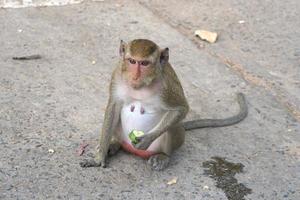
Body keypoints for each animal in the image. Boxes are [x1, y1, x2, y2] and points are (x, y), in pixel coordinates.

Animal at [78, 38, 247, 170]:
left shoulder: (167, 87)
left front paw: (146, 139)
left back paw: (163, 156)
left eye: (144, 63)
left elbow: (181, 109)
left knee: (172, 126)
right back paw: (114, 144)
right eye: (132, 61)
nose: (135, 76)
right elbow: (113, 107)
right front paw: (99, 157)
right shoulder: (117, 74)